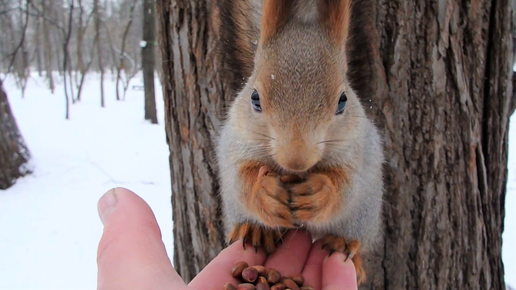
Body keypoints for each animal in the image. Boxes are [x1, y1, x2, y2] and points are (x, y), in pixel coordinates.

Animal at [214, 0, 382, 284]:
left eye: (343, 101)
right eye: (255, 97)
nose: (296, 160)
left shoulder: (357, 150)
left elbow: (345, 186)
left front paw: (318, 192)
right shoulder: (236, 143)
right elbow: (242, 178)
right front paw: (265, 191)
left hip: (364, 215)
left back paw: (345, 245)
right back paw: (256, 230)